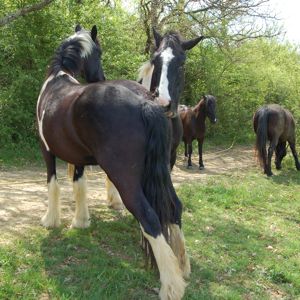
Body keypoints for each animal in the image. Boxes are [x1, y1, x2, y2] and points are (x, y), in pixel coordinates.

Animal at [37, 25, 188, 300]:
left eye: (99, 52)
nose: (100, 76)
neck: (57, 81)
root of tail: (147, 103)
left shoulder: (46, 151)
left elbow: (53, 184)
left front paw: (51, 220)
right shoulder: (78, 157)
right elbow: (79, 186)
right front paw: (81, 221)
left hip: (127, 180)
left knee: (150, 218)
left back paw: (171, 285)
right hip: (160, 173)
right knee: (173, 208)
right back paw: (181, 266)